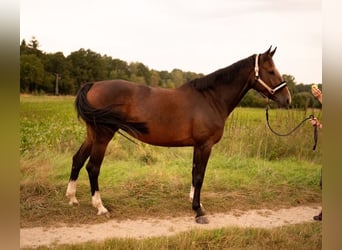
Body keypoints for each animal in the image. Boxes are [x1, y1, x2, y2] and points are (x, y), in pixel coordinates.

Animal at [66, 46, 292, 223]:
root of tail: (93, 85)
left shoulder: (197, 145)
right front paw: (198, 211)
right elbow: (200, 175)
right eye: (271, 71)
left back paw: (72, 197)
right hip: (103, 136)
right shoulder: (205, 144)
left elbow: (194, 173)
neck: (210, 98)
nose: (287, 99)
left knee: (78, 159)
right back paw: (100, 207)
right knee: (93, 167)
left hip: (92, 135)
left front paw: (195, 201)